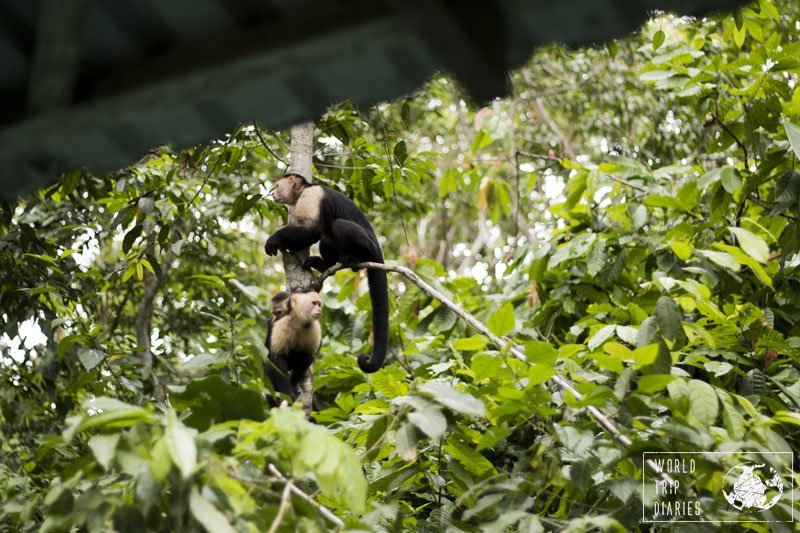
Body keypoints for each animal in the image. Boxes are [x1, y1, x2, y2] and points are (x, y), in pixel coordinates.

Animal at [266, 172, 390, 372]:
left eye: (277, 186)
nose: (272, 193)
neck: (303, 190)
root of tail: (378, 249)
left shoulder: (312, 196)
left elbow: (311, 230)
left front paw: (274, 240)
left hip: (369, 247)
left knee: (338, 225)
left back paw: (353, 258)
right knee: (326, 237)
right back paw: (324, 266)